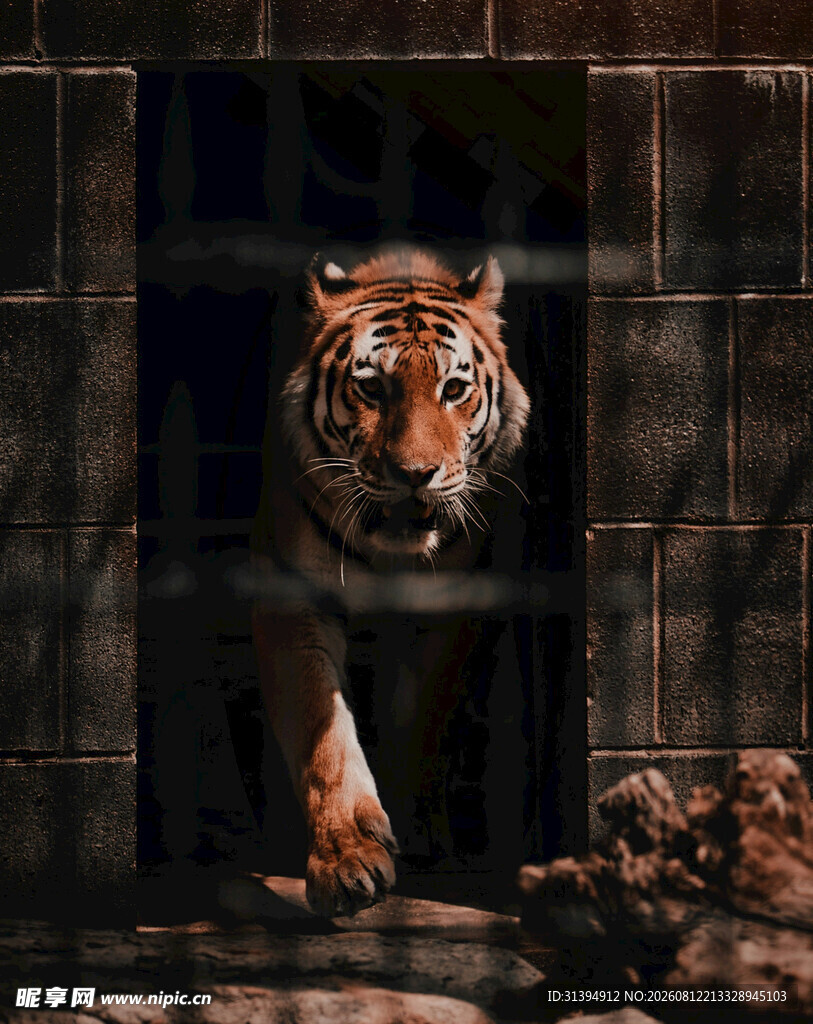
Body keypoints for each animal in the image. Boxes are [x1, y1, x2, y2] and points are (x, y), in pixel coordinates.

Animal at [251, 246, 530, 917]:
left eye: (453, 389)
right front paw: (347, 860)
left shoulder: (448, 610)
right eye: (371, 387)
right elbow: (323, 734)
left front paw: (418, 829)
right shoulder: (292, 599)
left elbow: (421, 720)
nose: (415, 473)